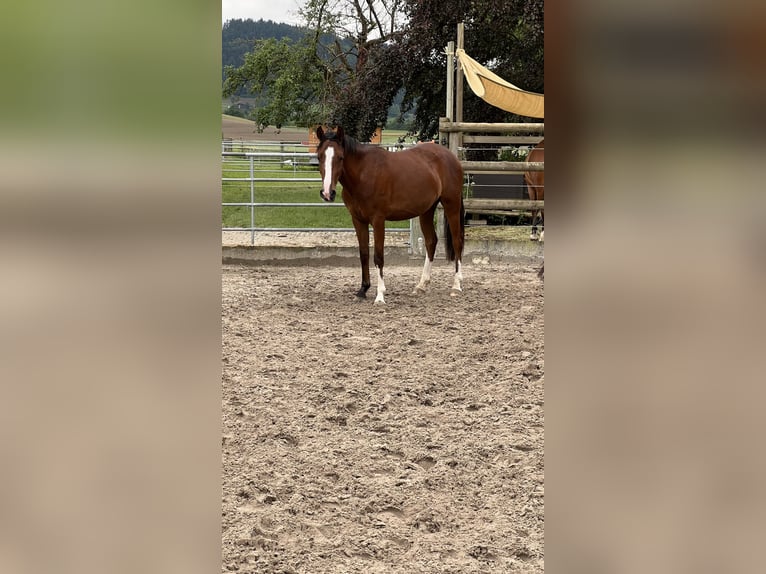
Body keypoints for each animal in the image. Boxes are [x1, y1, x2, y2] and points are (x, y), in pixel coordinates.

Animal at [316, 126, 465, 305]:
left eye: (340, 157)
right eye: (319, 156)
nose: (327, 193)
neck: (363, 174)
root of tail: (452, 157)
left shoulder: (378, 220)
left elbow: (378, 256)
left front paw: (380, 296)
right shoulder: (358, 220)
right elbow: (364, 254)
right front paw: (363, 290)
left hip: (452, 205)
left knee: (457, 242)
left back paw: (456, 286)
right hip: (427, 210)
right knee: (431, 242)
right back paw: (421, 285)